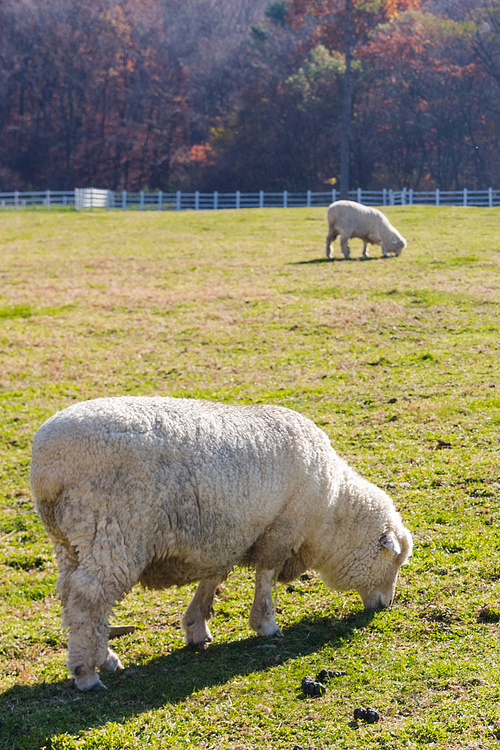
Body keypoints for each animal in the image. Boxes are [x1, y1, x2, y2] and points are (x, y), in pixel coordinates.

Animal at [32, 400, 414, 692]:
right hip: (113, 530)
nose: (386, 605)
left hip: (71, 539)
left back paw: (104, 658)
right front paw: (266, 624)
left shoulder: (227, 537)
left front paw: (195, 627)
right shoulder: (280, 530)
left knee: (71, 595)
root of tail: (46, 466)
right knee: (88, 599)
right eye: (393, 561)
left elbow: (212, 579)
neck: (332, 513)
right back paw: (87, 673)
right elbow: (265, 577)